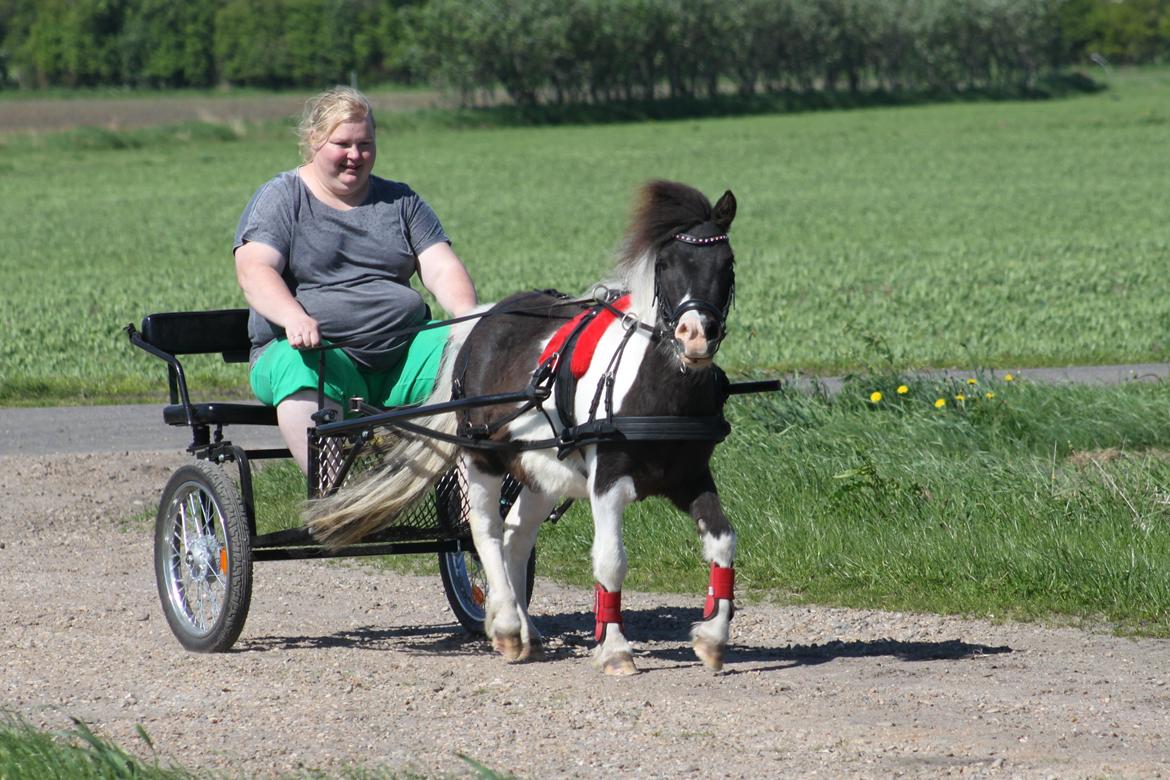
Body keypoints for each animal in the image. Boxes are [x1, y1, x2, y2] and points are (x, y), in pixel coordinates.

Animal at [308, 180, 739, 673]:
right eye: (665, 265)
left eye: (727, 263)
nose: (696, 336)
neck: (653, 390)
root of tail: (483, 320)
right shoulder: (608, 480)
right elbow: (610, 560)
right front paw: (614, 649)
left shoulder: (691, 476)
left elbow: (724, 542)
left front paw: (712, 638)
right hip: (481, 457)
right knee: (485, 531)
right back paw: (509, 629)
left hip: (539, 468)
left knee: (515, 535)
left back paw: (520, 626)